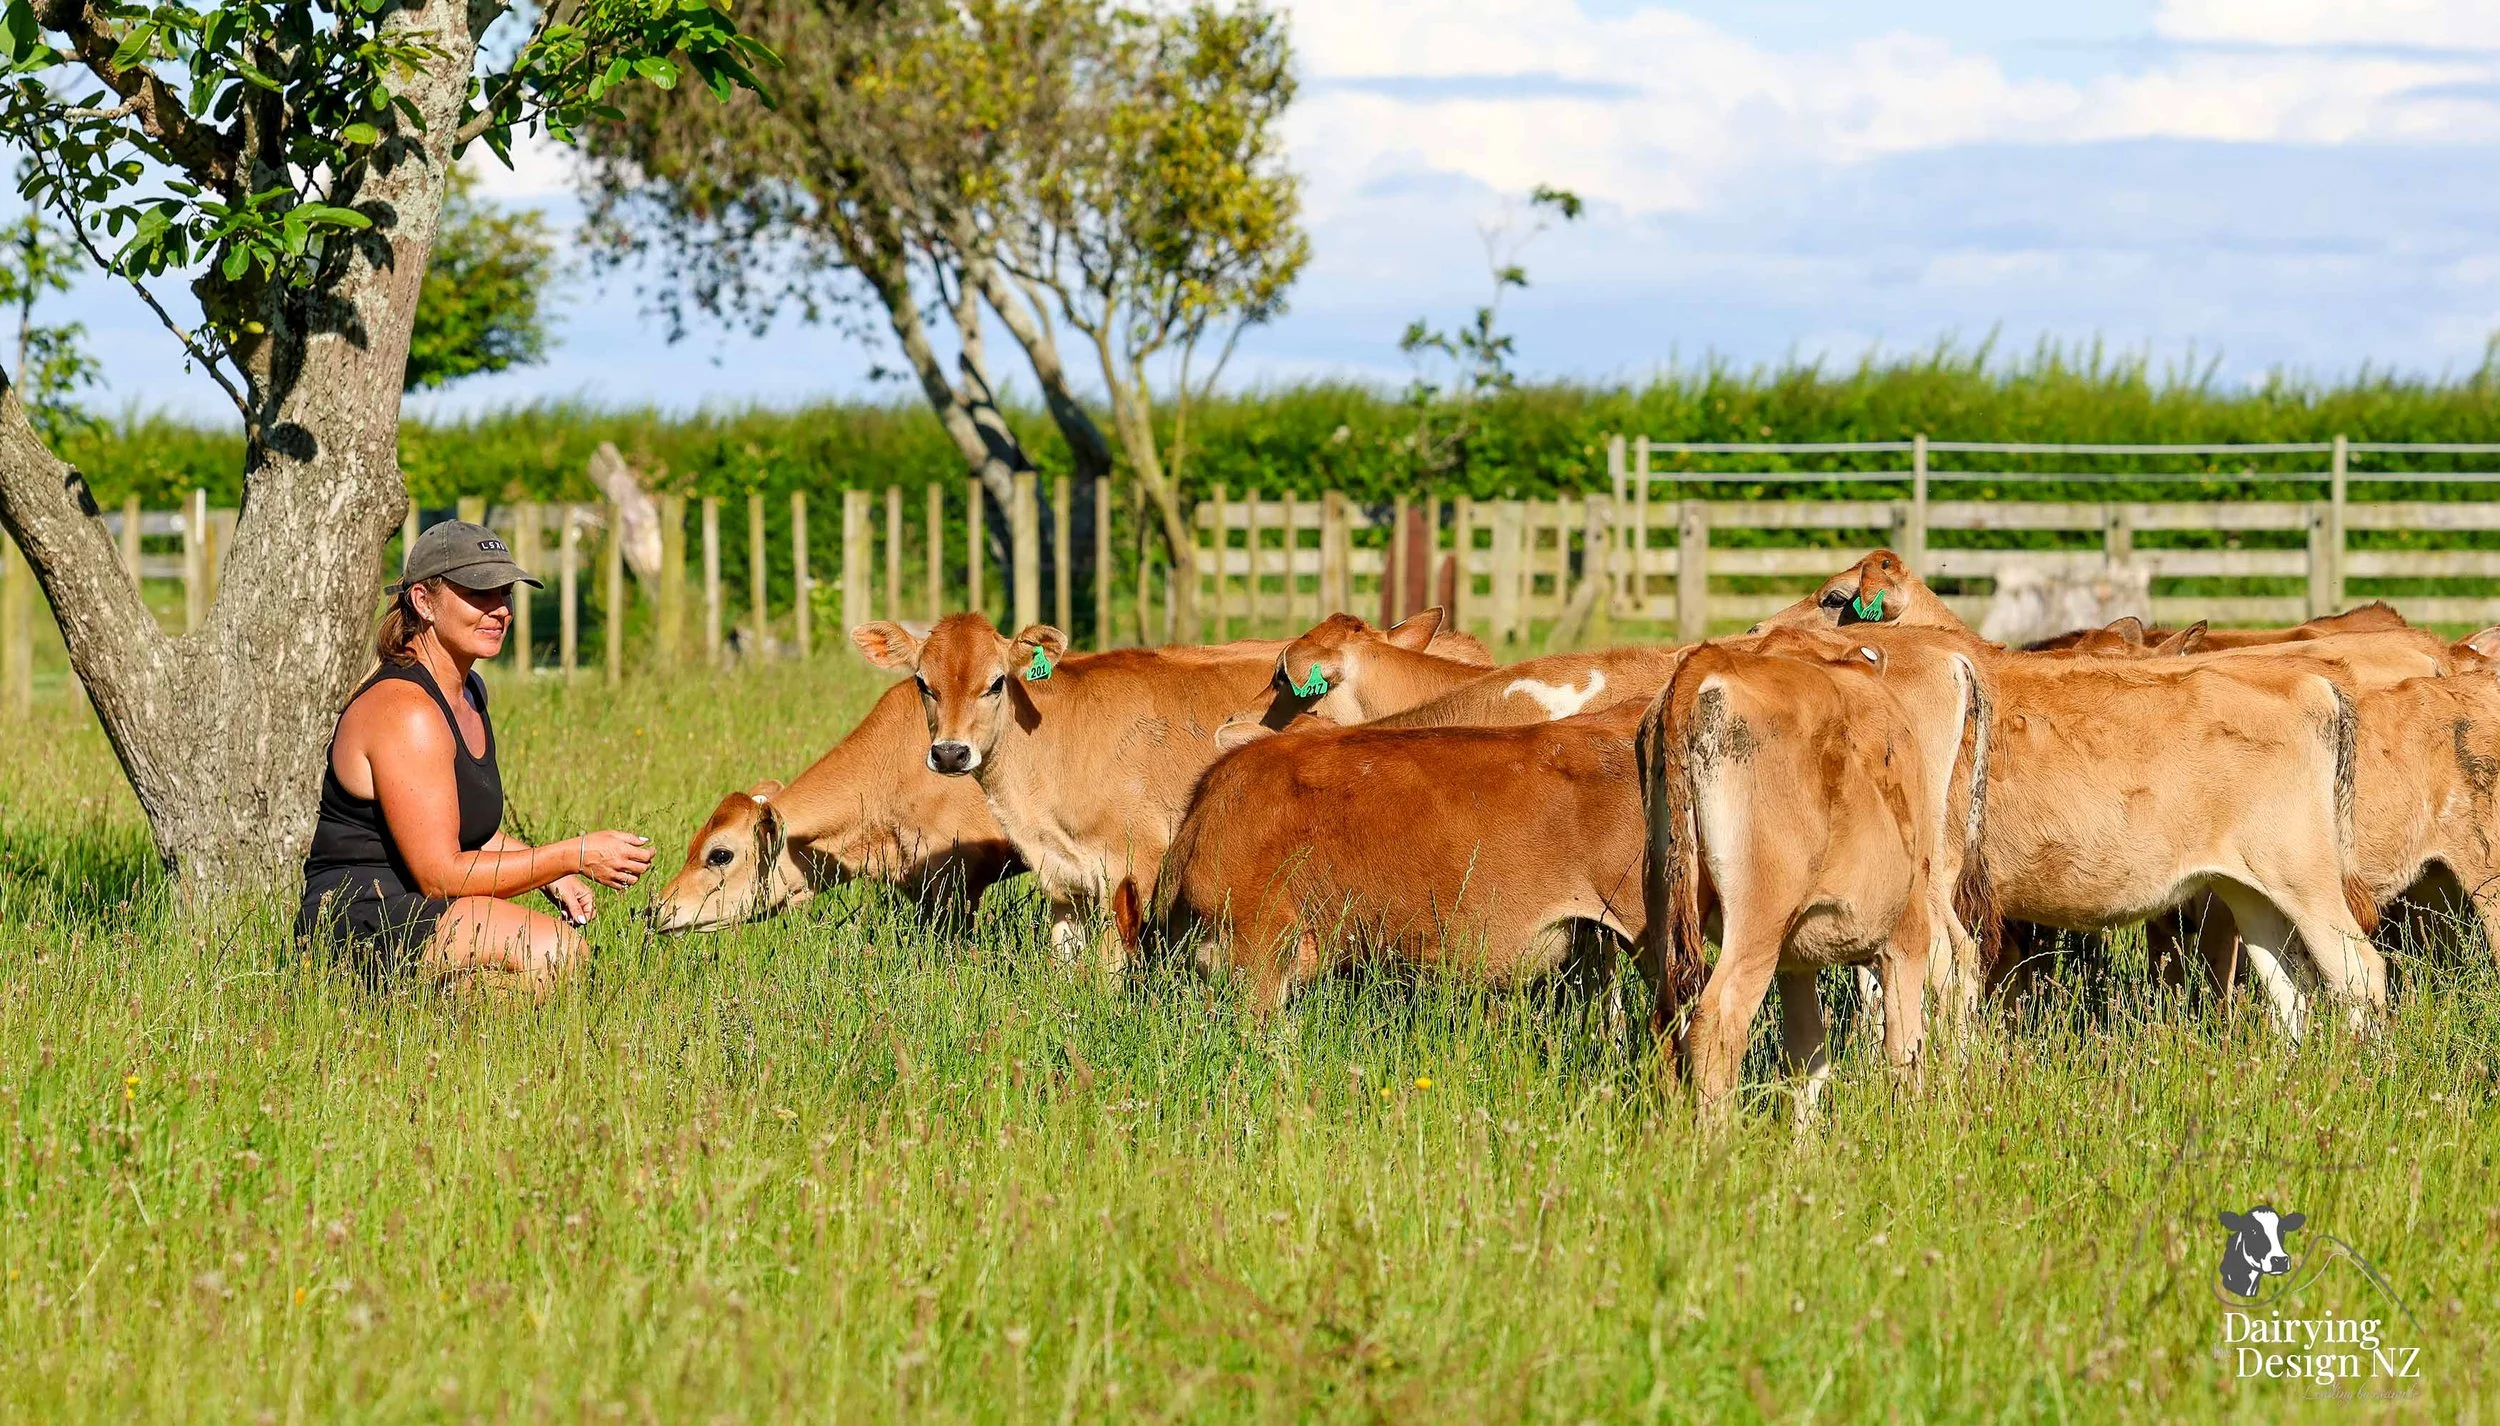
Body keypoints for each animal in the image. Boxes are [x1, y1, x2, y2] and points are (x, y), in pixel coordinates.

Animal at [1758, 552, 2384, 1037]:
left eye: (1834, 598)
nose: (1756, 630)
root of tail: (2312, 685)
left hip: (2304, 877)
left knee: (2360, 973)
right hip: (2250, 887)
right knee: (2292, 989)